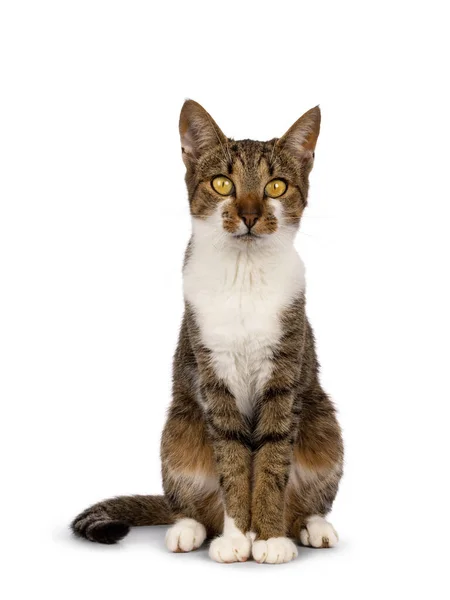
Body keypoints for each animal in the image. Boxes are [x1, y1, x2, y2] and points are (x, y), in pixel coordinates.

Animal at [72, 98, 342, 564]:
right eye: (221, 184)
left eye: (275, 187)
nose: (250, 215)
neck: (244, 275)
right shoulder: (213, 374)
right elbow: (232, 459)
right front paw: (237, 539)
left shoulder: (285, 374)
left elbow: (271, 459)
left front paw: (267, 537)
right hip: (179, 429)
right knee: (190, 499)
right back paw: (190, 529)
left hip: (323, 423)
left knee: (307, 495)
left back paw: (311, 526)